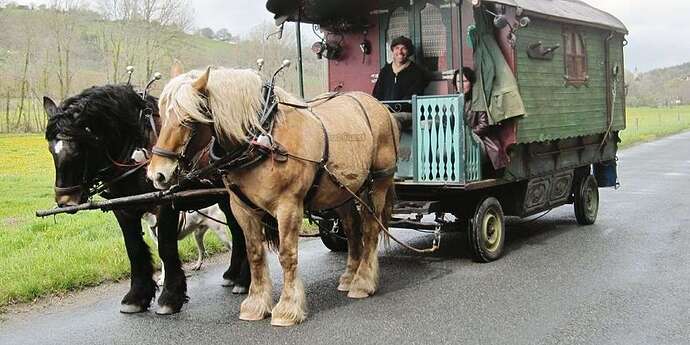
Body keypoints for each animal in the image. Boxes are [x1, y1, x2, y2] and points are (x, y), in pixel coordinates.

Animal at [41, 83, 250, 314]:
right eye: (51, 150)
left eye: (79, 149)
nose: (65, 200)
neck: (137, 146)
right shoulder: (123, 209)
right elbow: (133, 248)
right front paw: (137, 297)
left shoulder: (165, 203)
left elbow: (165, 248)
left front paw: (170, 297)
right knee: (237, 230)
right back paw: (234, 275)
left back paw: (243, 280)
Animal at [148, 66, 400, 326]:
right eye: (161, 116)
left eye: (188, 120)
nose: (157, 174)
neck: (264, 139)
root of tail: (380, 106)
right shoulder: (243, 209)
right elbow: (255, 254)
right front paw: (256, 305)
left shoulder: (288, 206)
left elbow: (287, 255)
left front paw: (288, 308)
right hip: (342, 192)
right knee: (352, 229)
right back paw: (350, 276)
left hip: (378, 184)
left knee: (370, 228)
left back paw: (363, 282)